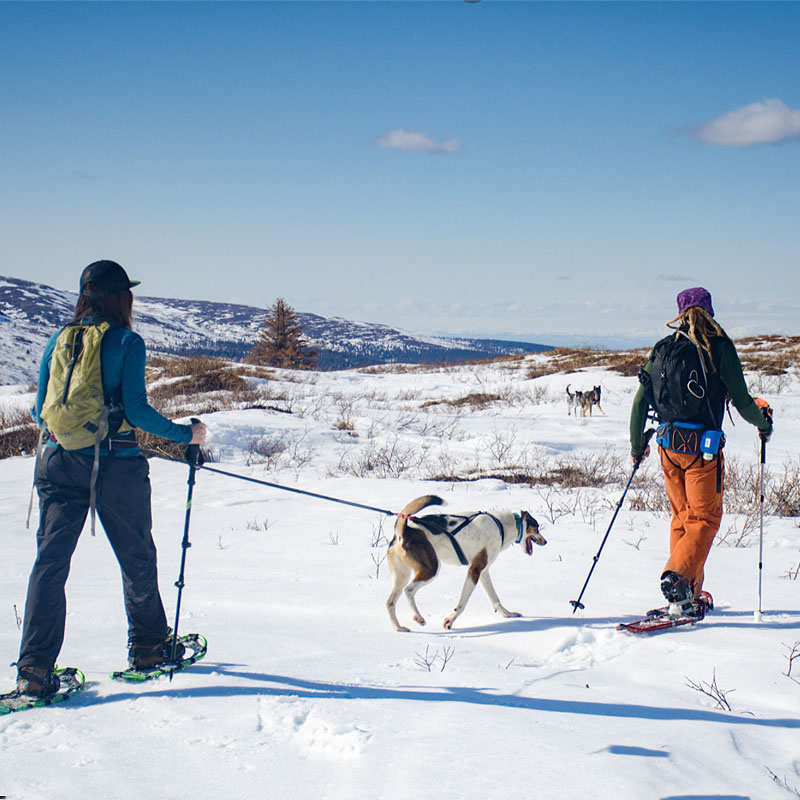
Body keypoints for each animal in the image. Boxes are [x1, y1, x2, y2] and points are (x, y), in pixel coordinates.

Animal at [384, 494, 548, 632]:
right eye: (537, 527)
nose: (545, 541)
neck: (501, 525)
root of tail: (404, 530)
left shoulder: (483, 572)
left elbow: (495, 599)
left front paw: (508, 614)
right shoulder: (474, 571)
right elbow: (462, 604)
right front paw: (450, 621)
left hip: (401, 577)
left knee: (390, 602)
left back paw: (398, 627)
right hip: (431, 569)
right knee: (408, 590)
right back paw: (418, 617)